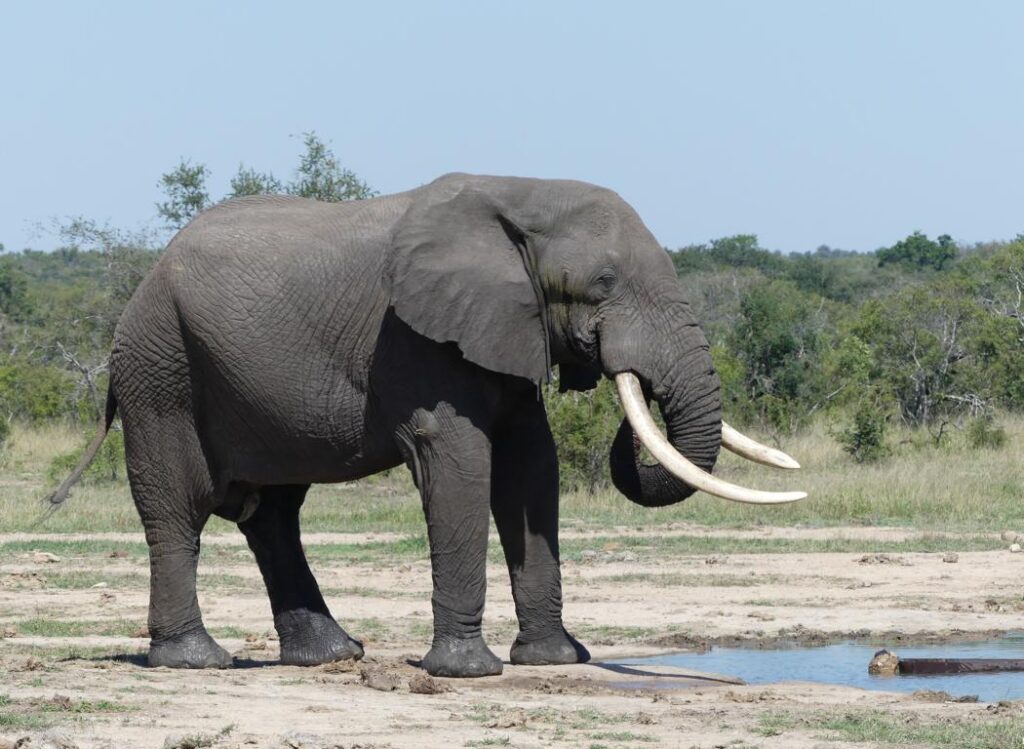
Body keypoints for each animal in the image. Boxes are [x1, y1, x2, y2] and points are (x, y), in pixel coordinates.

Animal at [48, 174, 802, 680]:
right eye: (604, 285)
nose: (622, 370)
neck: (520, 193)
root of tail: (144, 282)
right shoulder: (416, 341)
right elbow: (461, 461)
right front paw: (469, 672)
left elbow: (533, 467)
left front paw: (554, 659)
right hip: (161, 368)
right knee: (180, 506)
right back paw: (197, 661)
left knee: (273, 513)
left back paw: (333, 656)